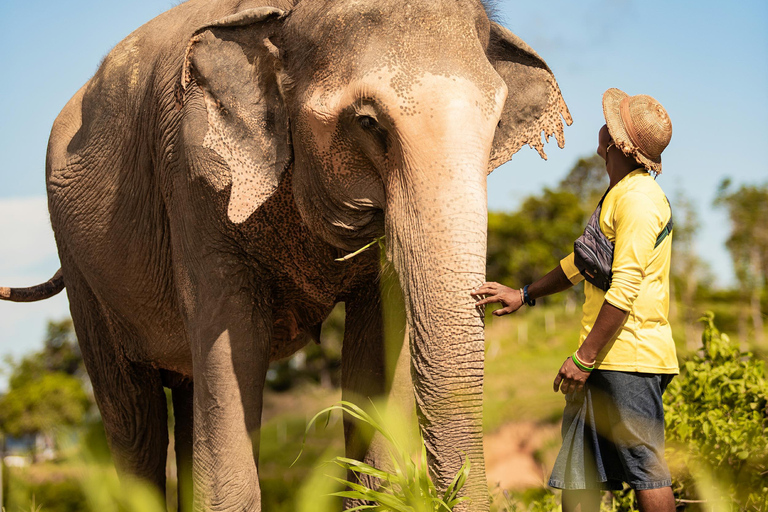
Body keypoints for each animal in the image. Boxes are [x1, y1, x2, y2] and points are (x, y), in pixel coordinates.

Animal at [1, 0, 568, 510]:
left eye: (495, 124)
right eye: (368, 122)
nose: (489, 295)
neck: (285, 16)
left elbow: (374, 353)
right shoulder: (193, 180)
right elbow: (233, 347)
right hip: (83, 272)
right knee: (133, 417)